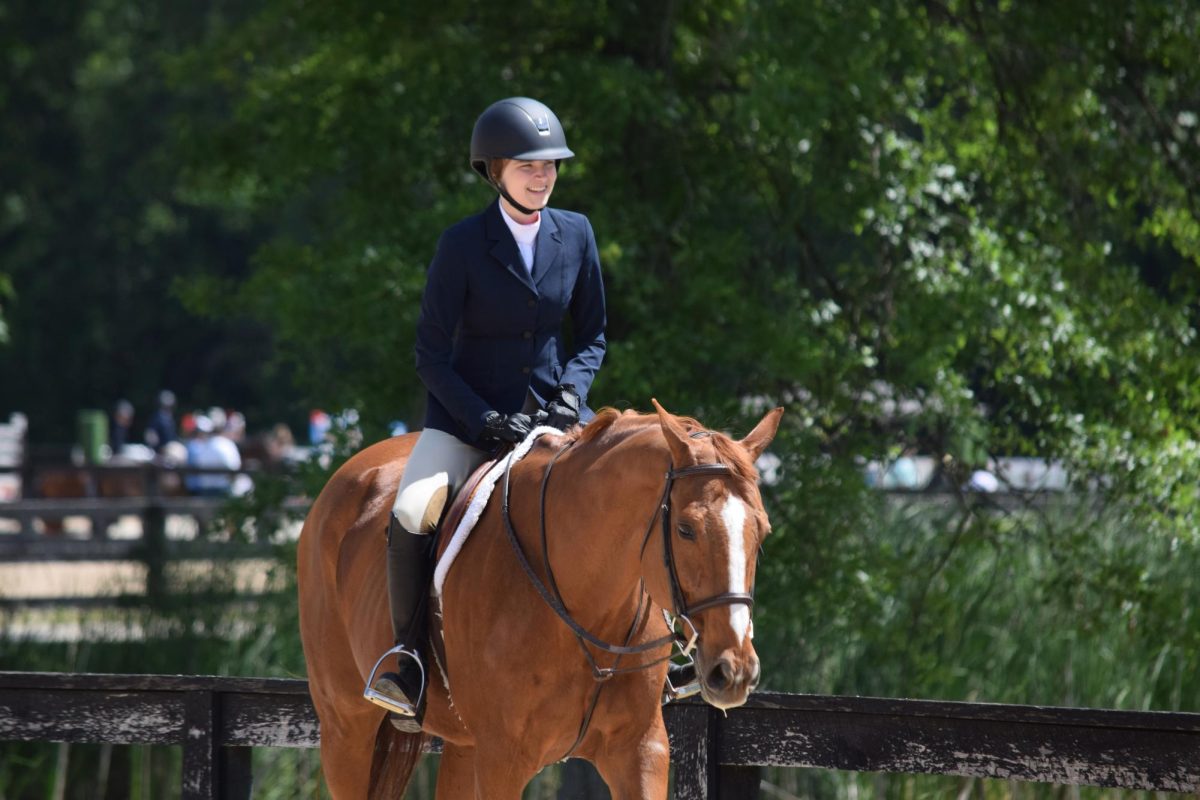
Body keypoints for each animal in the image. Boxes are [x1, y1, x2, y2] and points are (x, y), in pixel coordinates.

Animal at [298, 402, 782, 796]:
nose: (734, 671)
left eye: (762, 532)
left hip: (463, 746)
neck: (586, 608)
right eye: (685, 530)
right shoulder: (503, 760)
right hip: (346, 729)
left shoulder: (641, 751)